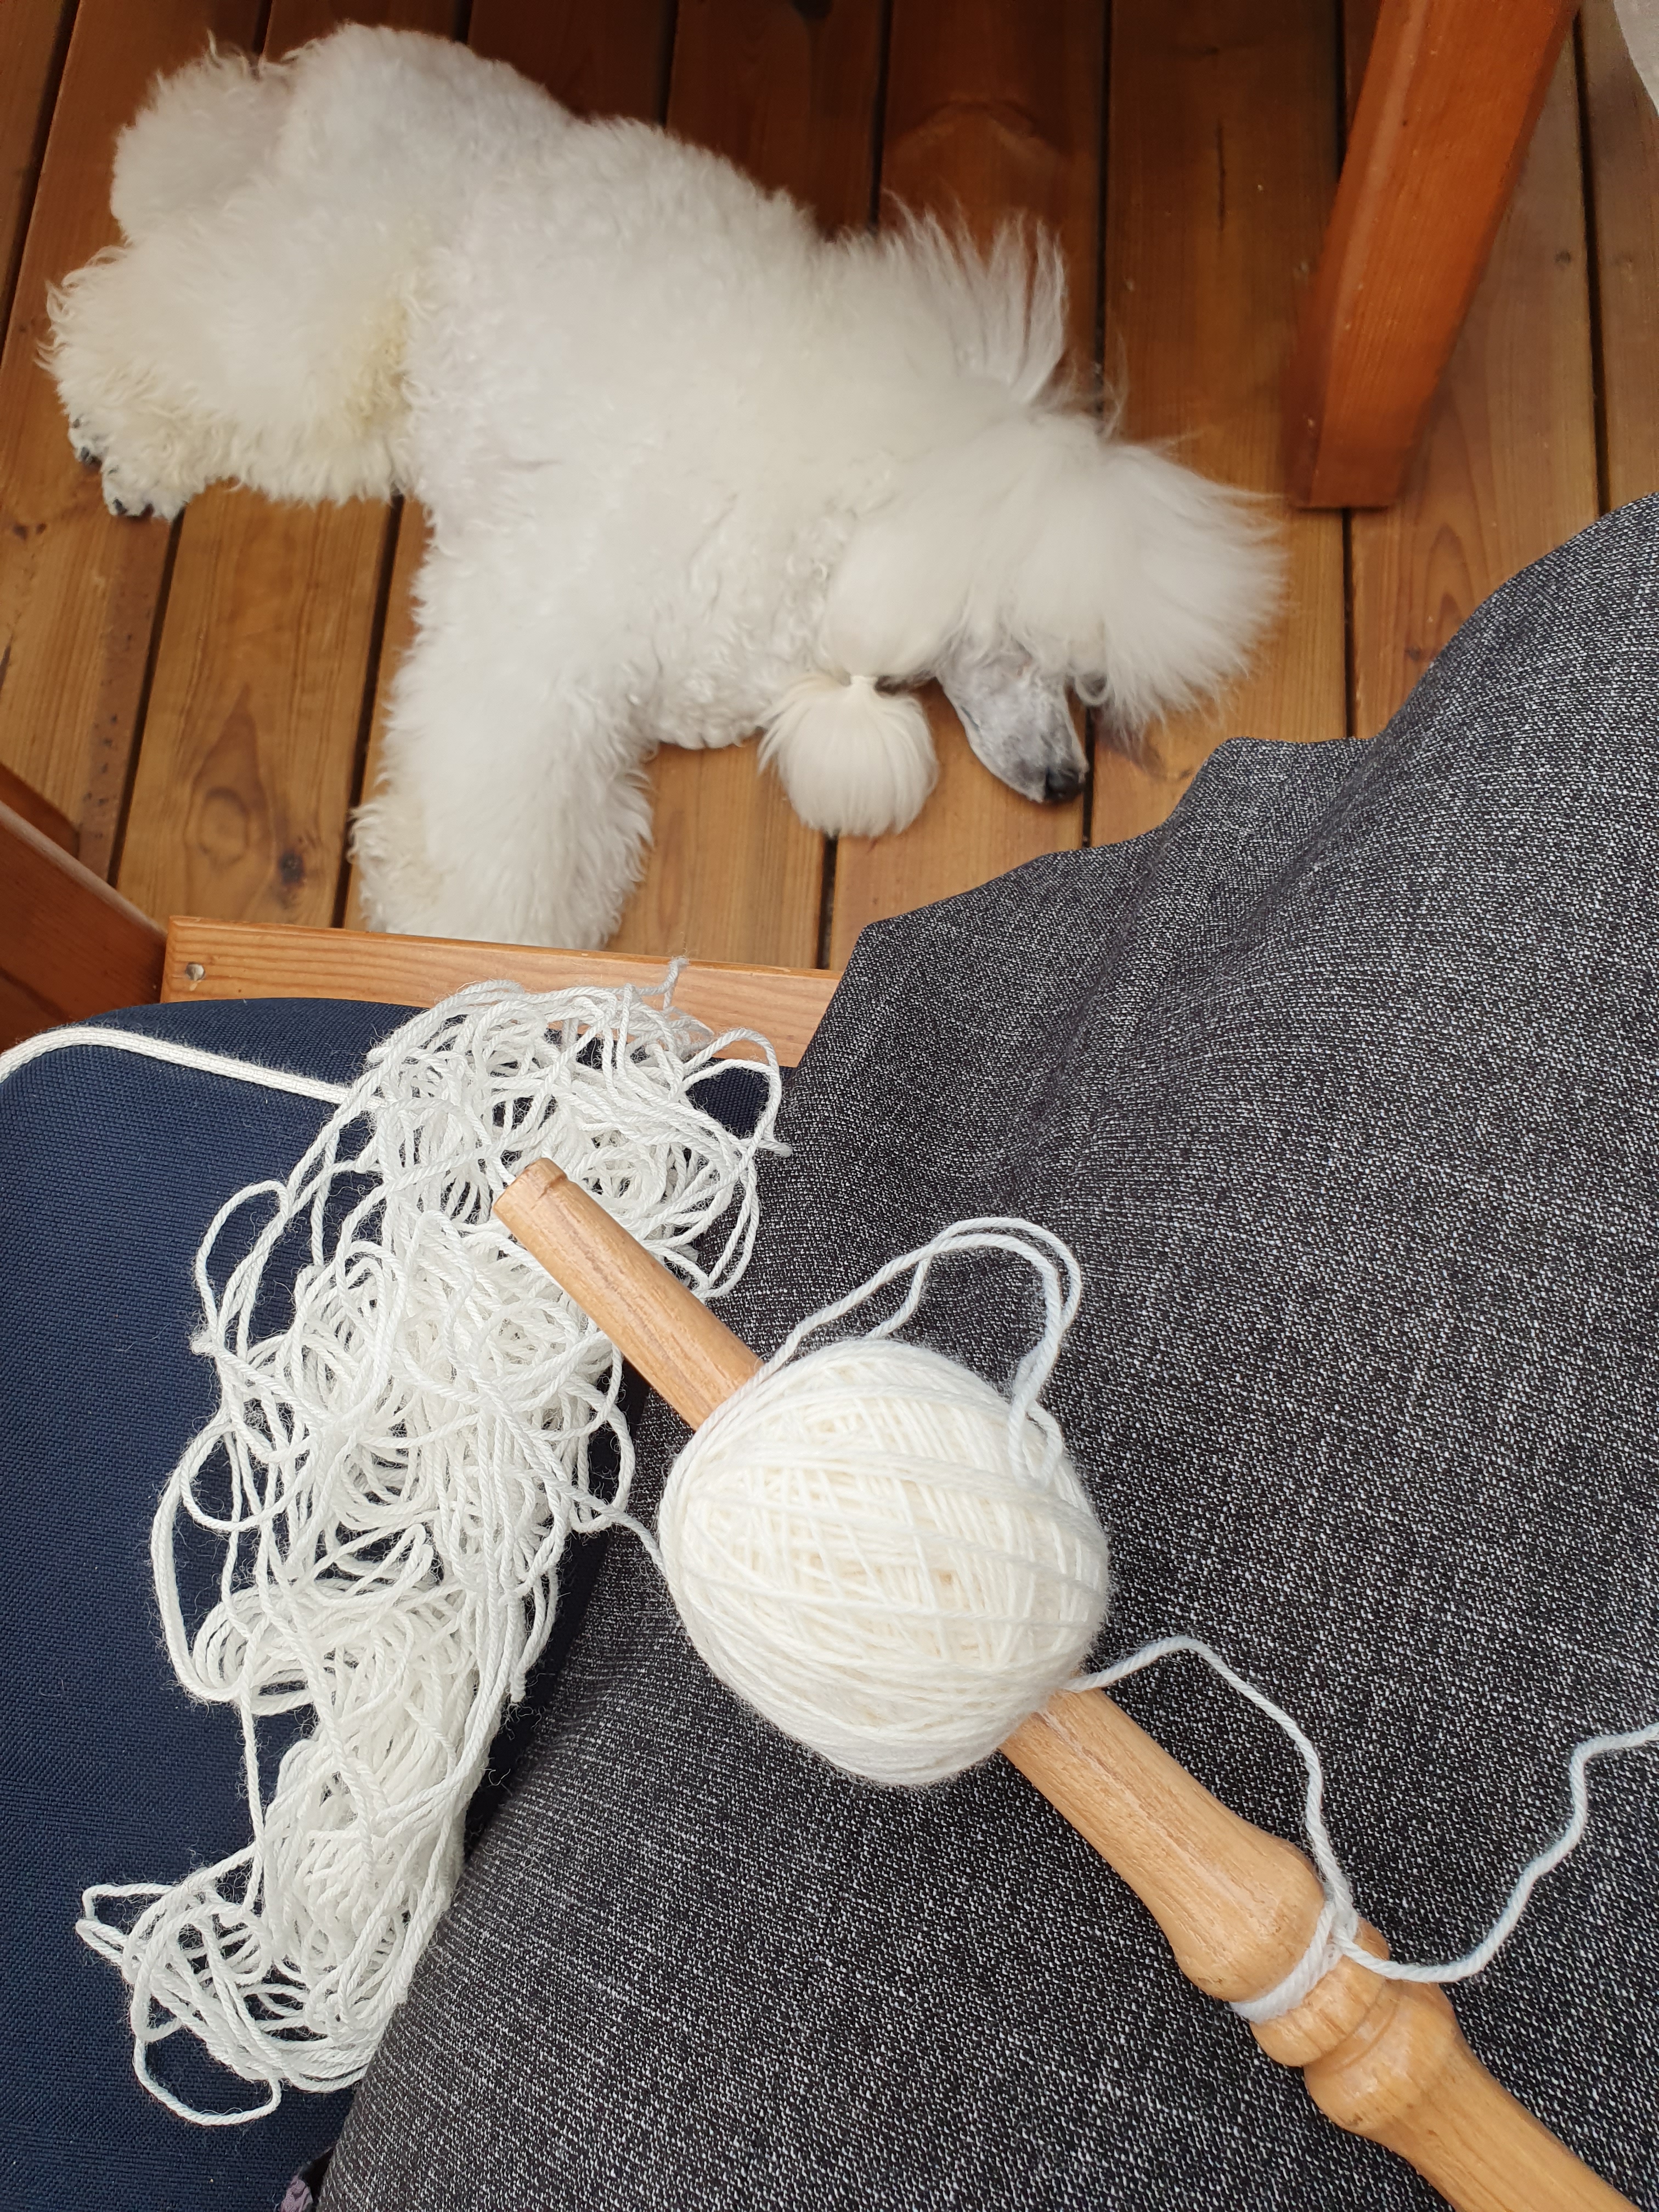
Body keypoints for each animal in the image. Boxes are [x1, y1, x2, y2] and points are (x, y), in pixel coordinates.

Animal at [50, 26, 1280, 951]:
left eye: (1081, 670)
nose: (1068, 780)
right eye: (1015, 641)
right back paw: (112, 414)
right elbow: (501, 811)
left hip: (379, 394)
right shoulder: (536, 632)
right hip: (330, 283)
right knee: (168, 315)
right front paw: (458, 931)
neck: (835, 527)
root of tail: (361, 57)